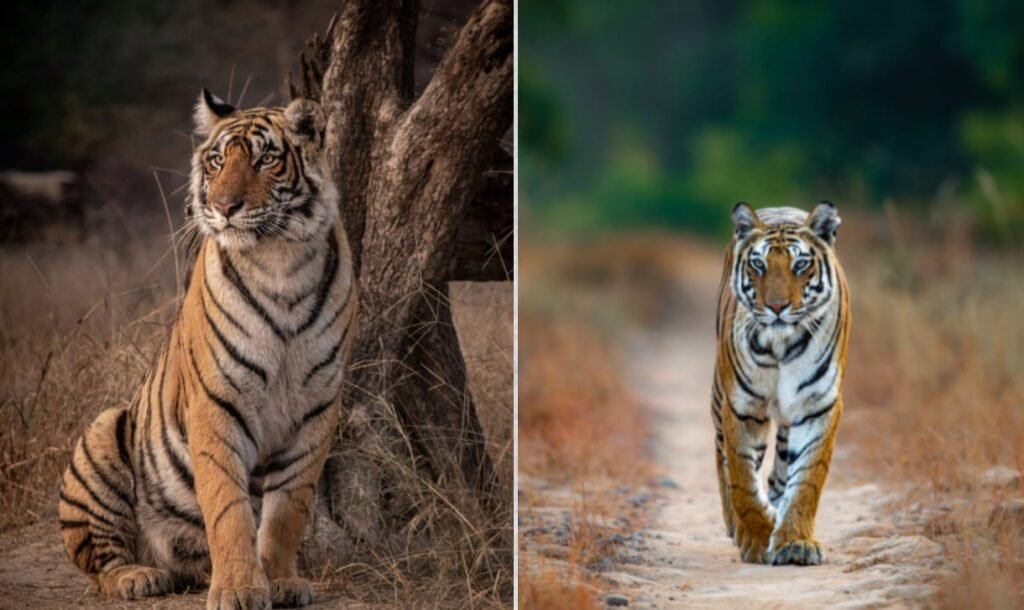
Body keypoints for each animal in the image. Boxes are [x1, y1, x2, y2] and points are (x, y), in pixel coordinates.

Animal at [58, 88, 357, 609]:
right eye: (217, 161)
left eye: (265, 160)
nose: (224, 206)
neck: (281, 262)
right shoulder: (218, 401)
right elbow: (227, 506)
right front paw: (239, 588)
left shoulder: (317, 407)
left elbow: (288, 509)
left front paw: (281, 581)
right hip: (101, 437)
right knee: (100, 565)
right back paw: (140, 577)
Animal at [710, 201, 850, 566]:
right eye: (758, 265)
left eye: (800, 264)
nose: (776, 307)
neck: (781, 344)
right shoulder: (742, 406)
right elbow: (743, 482)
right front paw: (758, 539)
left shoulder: (818, 405)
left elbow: (807, 480)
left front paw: (795, 543)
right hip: (719, 400)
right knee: (723, 459)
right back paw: (737, 526)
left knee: (780, 472)